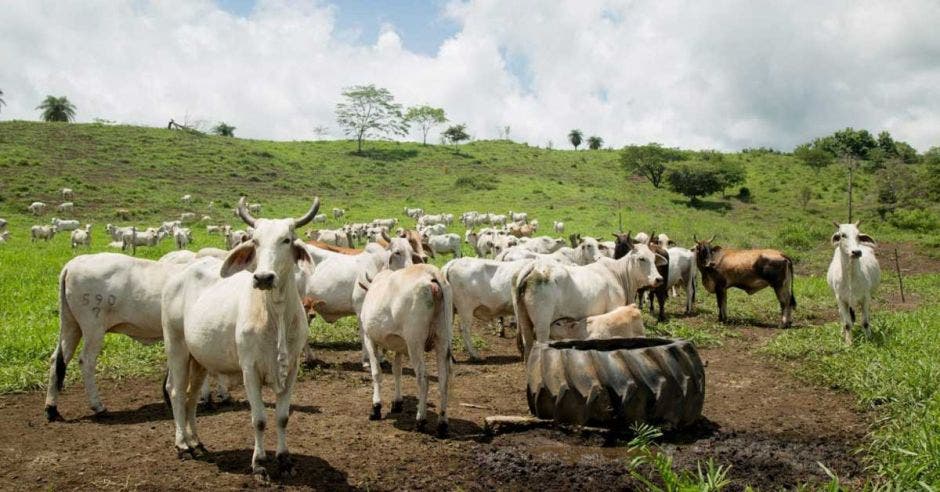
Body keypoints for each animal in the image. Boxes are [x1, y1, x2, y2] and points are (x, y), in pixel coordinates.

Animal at [161, 197, 320, 480]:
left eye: (286, 239)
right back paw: (182, 445)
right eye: (255, 241)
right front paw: (259, 464)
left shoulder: (291, 370)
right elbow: (260, 419)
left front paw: (284, 460)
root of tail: (179, 275)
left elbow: (282, 417)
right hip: (176, 346)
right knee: (176, 391)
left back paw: (195, 441)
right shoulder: (250, 370)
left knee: (191, 395)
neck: (275, 314)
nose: (263, 277)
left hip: (199, 358)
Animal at [356, 264, 452, 436]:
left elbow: (377, 373)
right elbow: (397, 371)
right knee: (443, 380)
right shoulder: (399, 346)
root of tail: (430, 273)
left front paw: (376, 408)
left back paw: (420, 420)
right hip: (443, 339)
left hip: (415, 342)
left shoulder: (369, 338)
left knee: (423, 378)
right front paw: (397, 402)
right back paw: (442, 423)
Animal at [510, 239, 664, 358]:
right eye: (641, 258)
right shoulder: (613, 308)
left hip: (524, 320)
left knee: (528, 347)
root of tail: (534, 266)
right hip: (542, 325)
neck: (619, 274)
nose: (658, 279)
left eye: (653, 258)